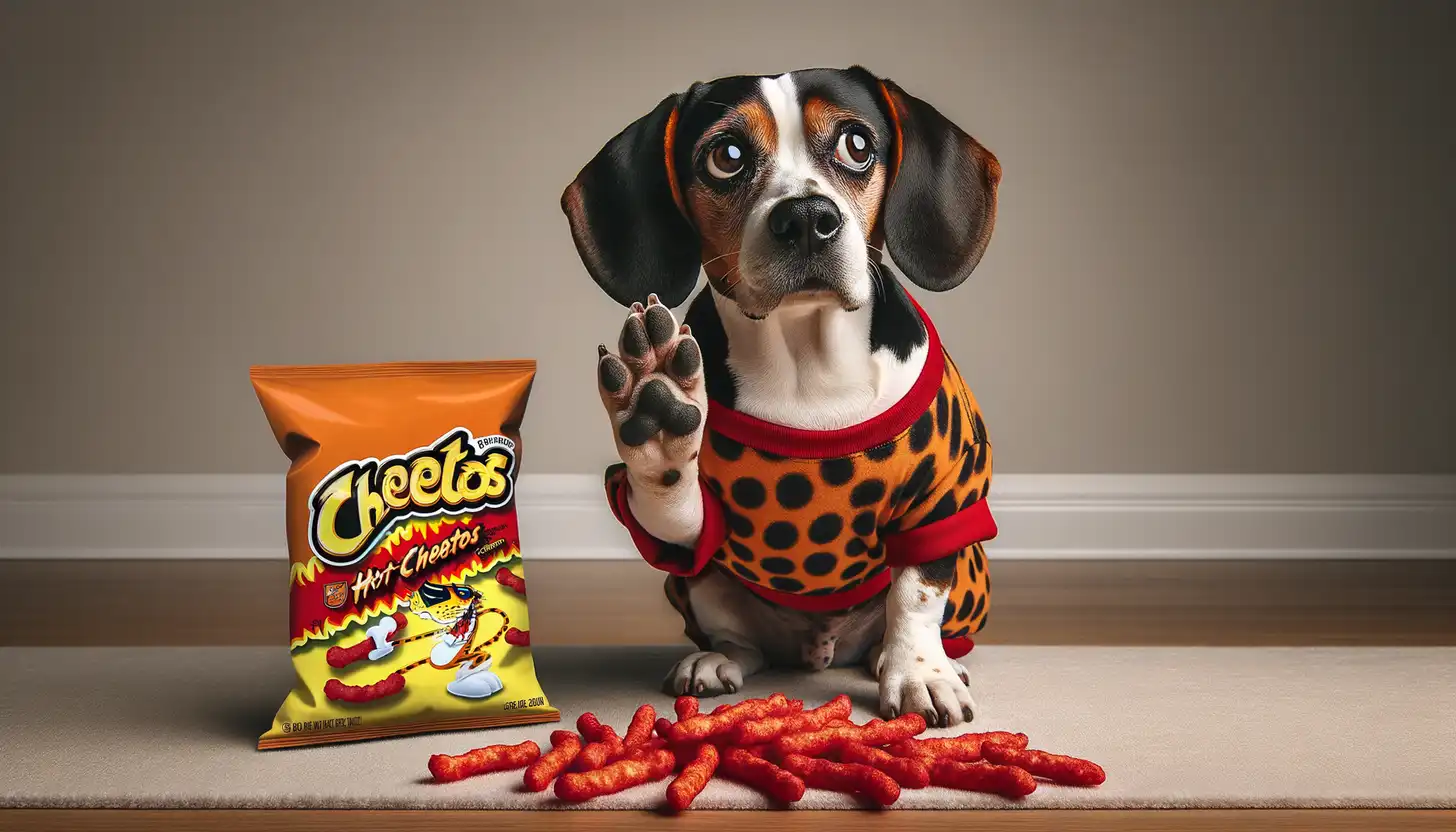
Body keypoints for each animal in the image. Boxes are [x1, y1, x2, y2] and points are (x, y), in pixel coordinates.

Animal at [559, 66, 1001, 728]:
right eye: (727, 155)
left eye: (856, 144)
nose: (808, 218)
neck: (808, 365)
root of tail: (820, 650)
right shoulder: (704, 527)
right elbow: (673, 502)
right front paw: (660, 424)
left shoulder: (944, 498)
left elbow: (916, 595)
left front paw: (920, 674)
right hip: (698, 586)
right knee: (738, 636)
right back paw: (718, 660)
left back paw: (898, 658)